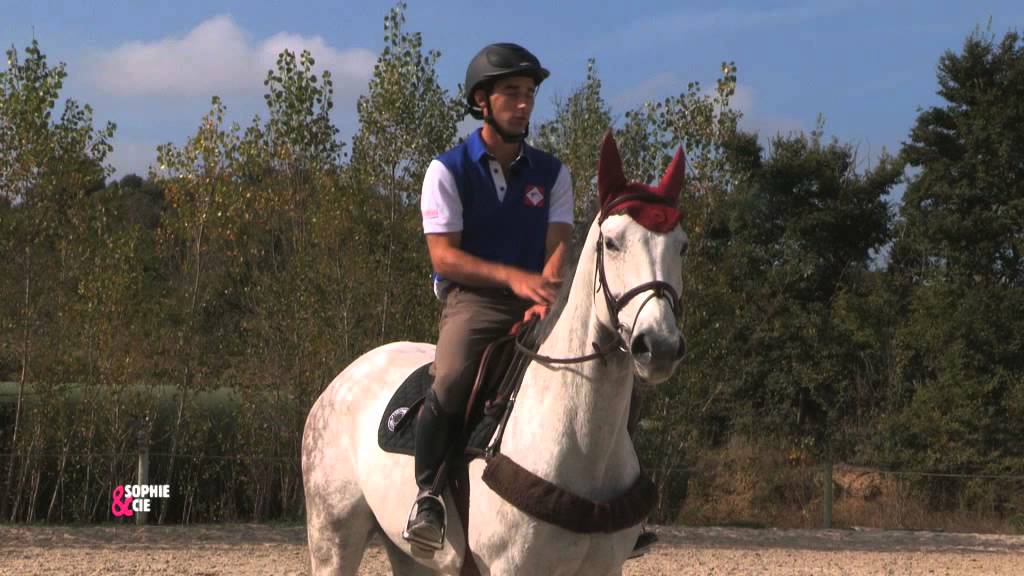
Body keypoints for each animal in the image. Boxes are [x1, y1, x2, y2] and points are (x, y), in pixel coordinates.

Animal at [302, 131, 688, 576]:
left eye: (682, 247)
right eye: (611, 243)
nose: (658, 346)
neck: (582, 442)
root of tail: (340, 382)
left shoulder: (605, 568)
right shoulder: (511, 567)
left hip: (408, 554)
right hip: (332, 537)